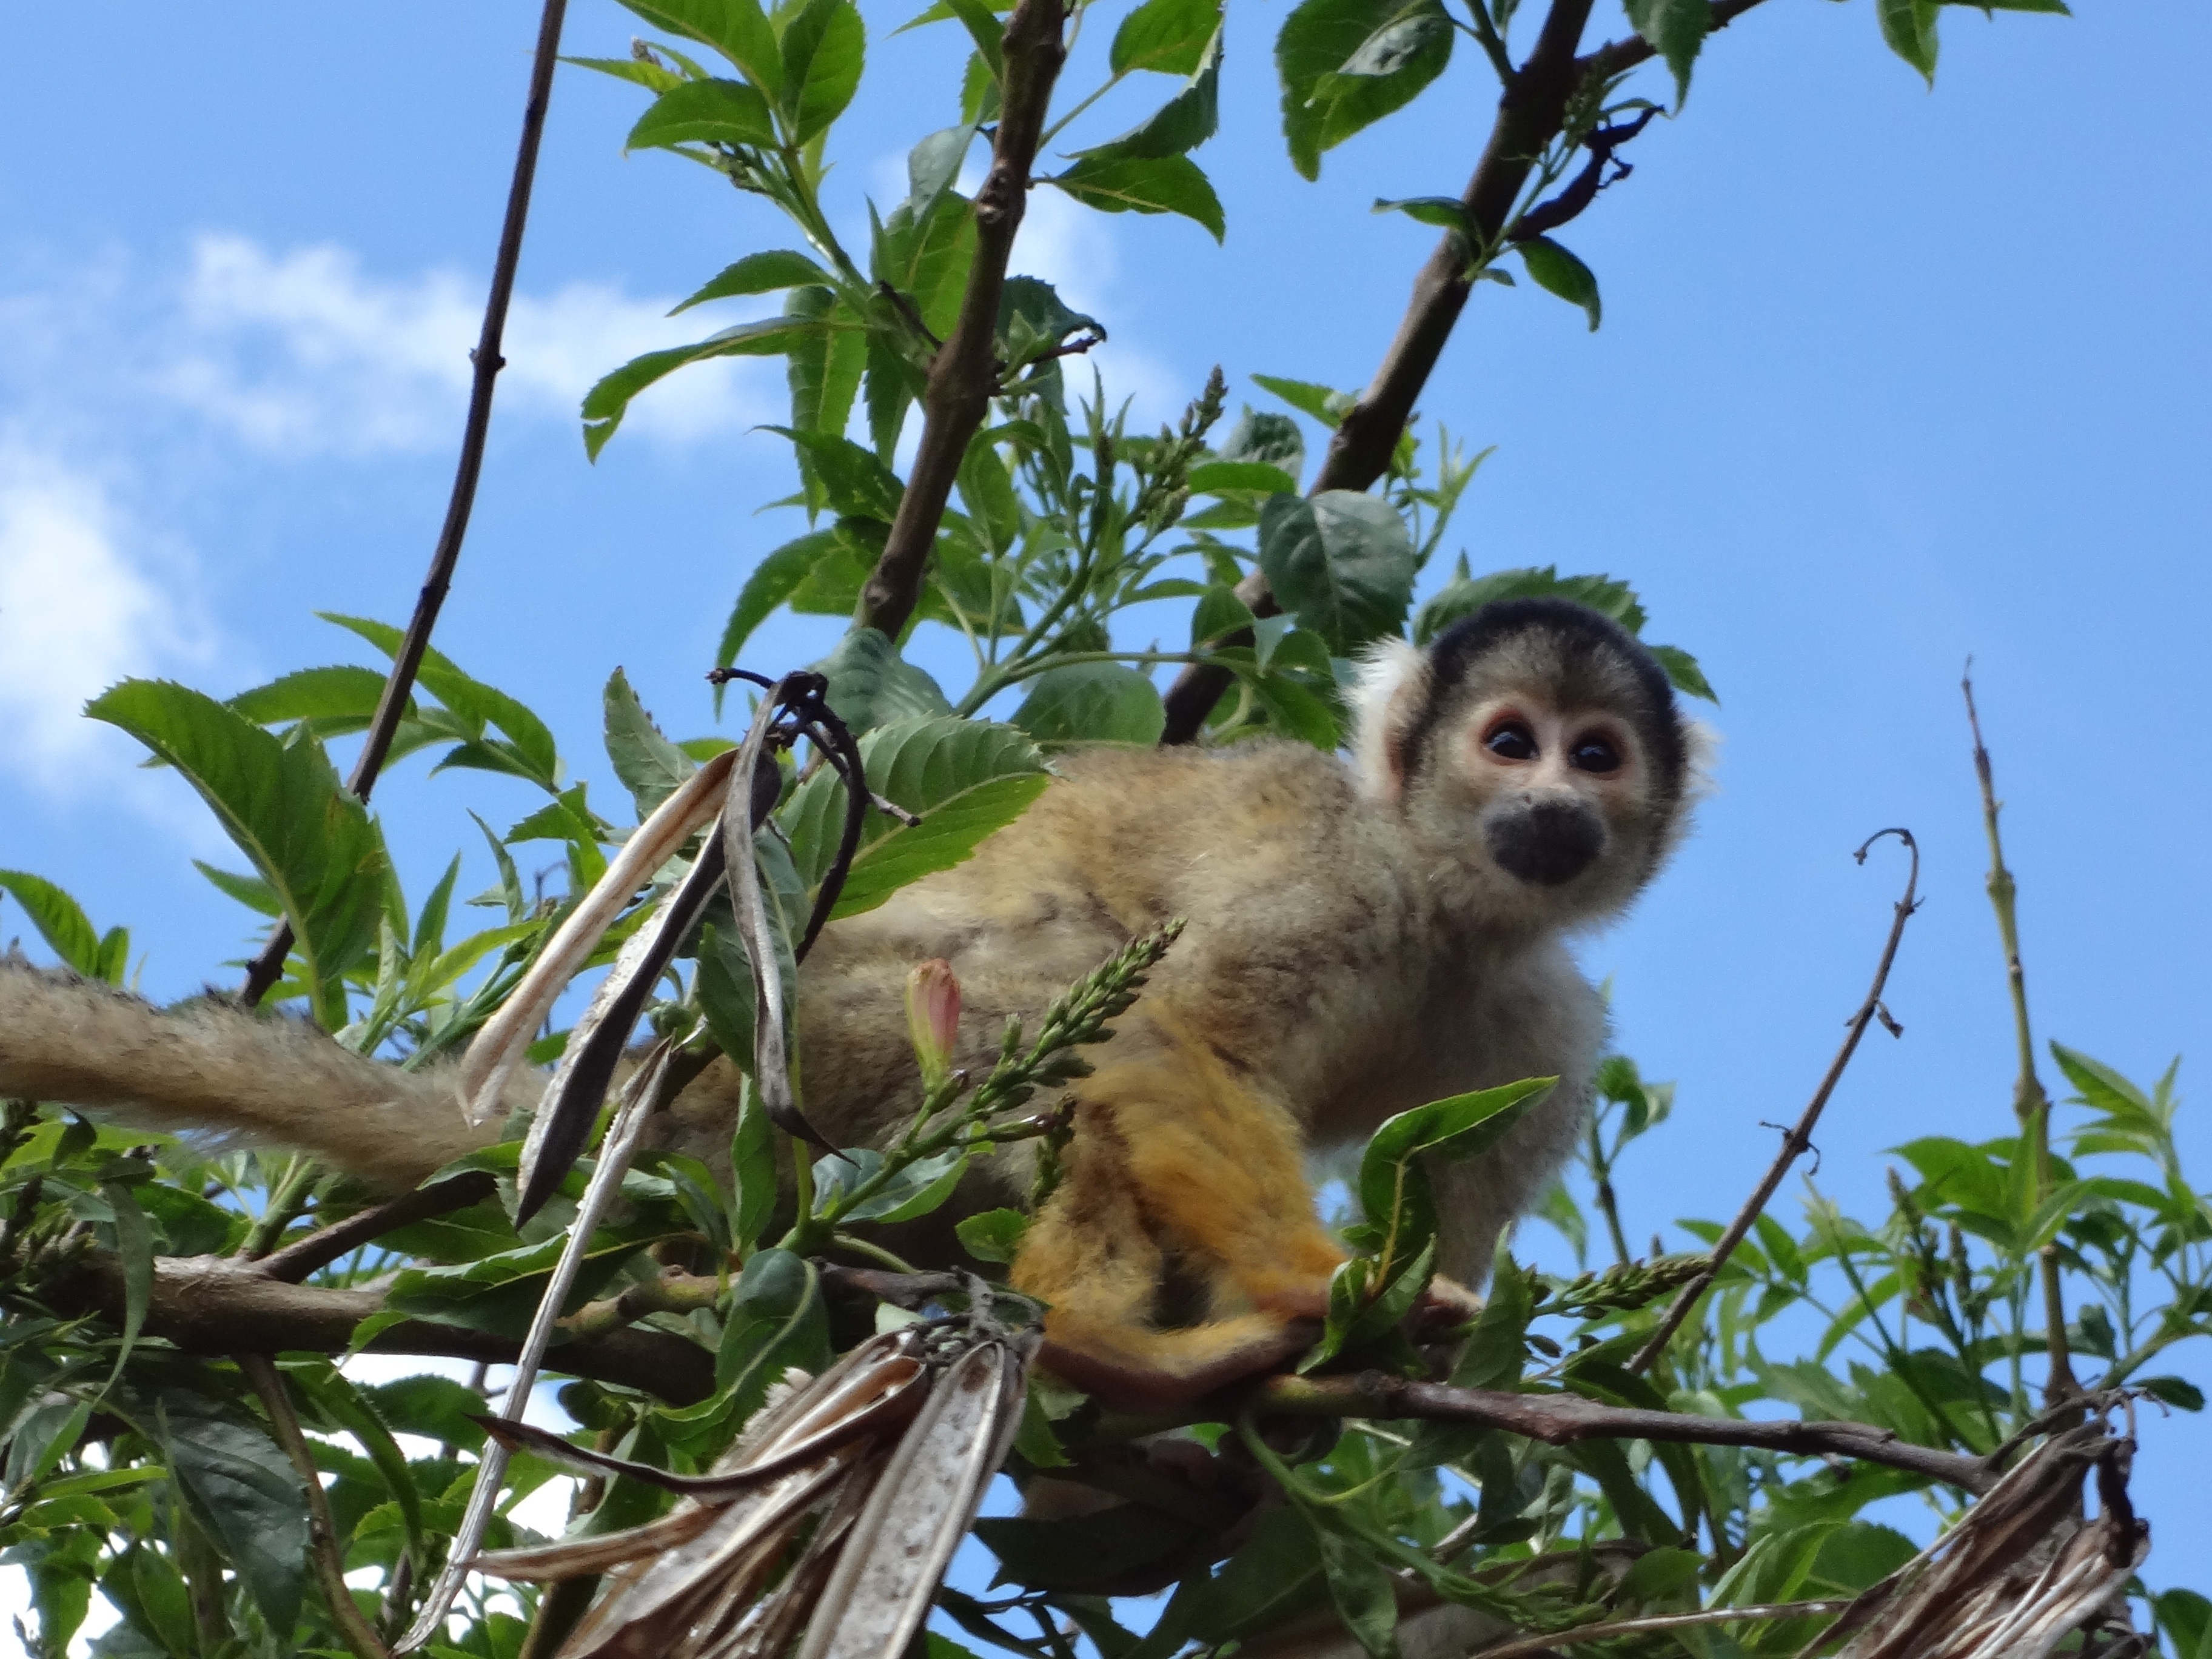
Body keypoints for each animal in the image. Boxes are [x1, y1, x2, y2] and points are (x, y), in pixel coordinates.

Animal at [0, 598, 1699, 1405]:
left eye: (1596, 755)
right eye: (1505, 738)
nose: (1552, 805)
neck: (1446, 902)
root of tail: (664, 1087)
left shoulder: (1546, 1034)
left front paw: (1405, 1341)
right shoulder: (1333, 884)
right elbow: (1176, 1031)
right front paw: (1314, 1290)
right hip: (827, 1058)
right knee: (1055, 992)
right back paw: (1107, 1346)